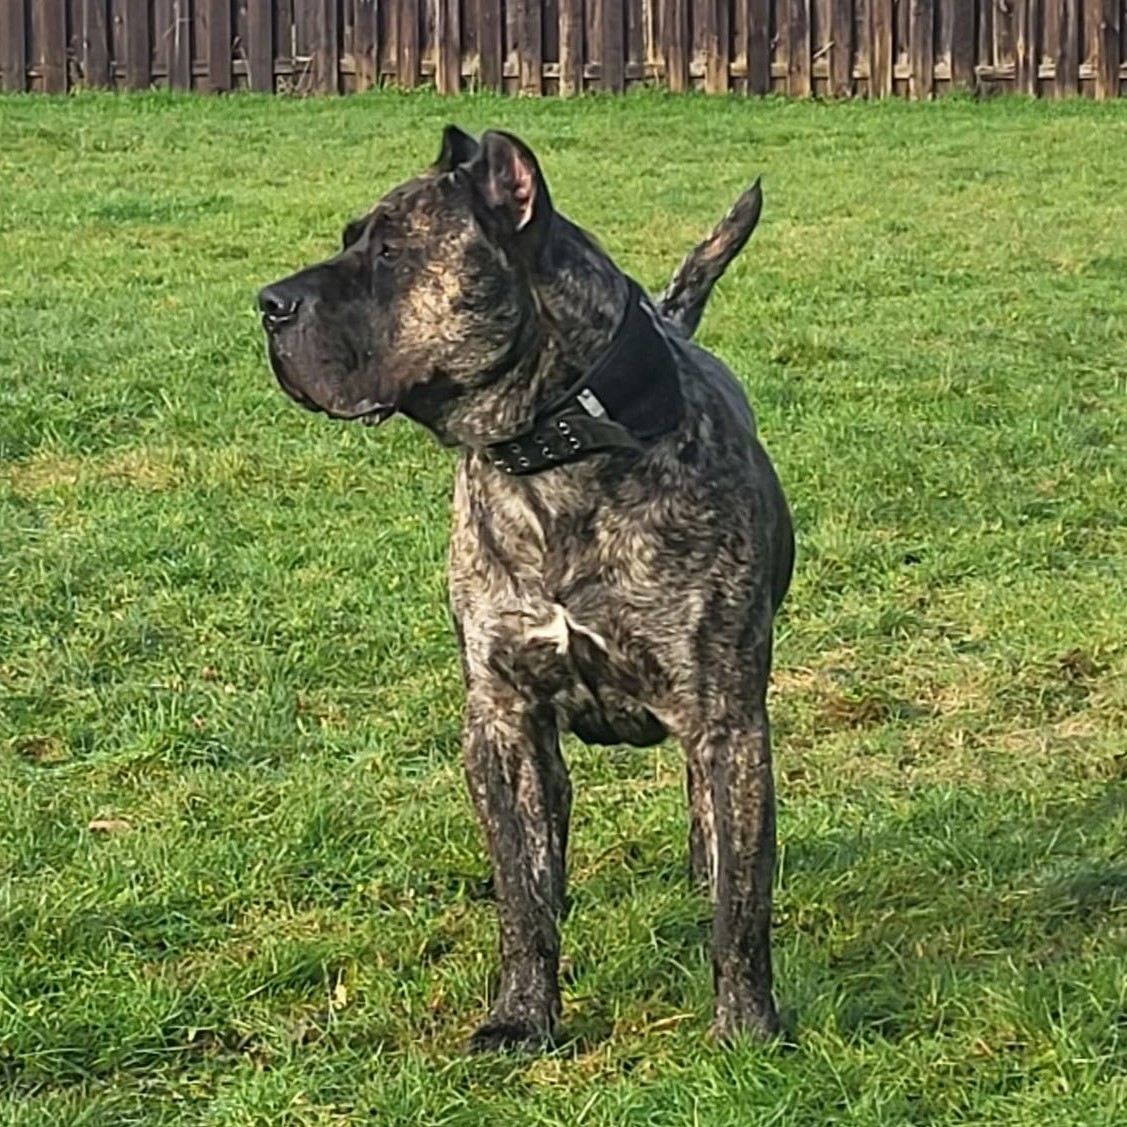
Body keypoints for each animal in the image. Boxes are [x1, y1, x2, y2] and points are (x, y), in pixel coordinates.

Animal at [259, 126, 794, 1051]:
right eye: (348, 239)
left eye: (392, 252)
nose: (268, 303)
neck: (558, 456)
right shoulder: (502, 719)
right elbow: (521, 894)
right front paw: (520, 1015)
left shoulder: (727, 717)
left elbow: (741, 901)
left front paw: (744, 1026)